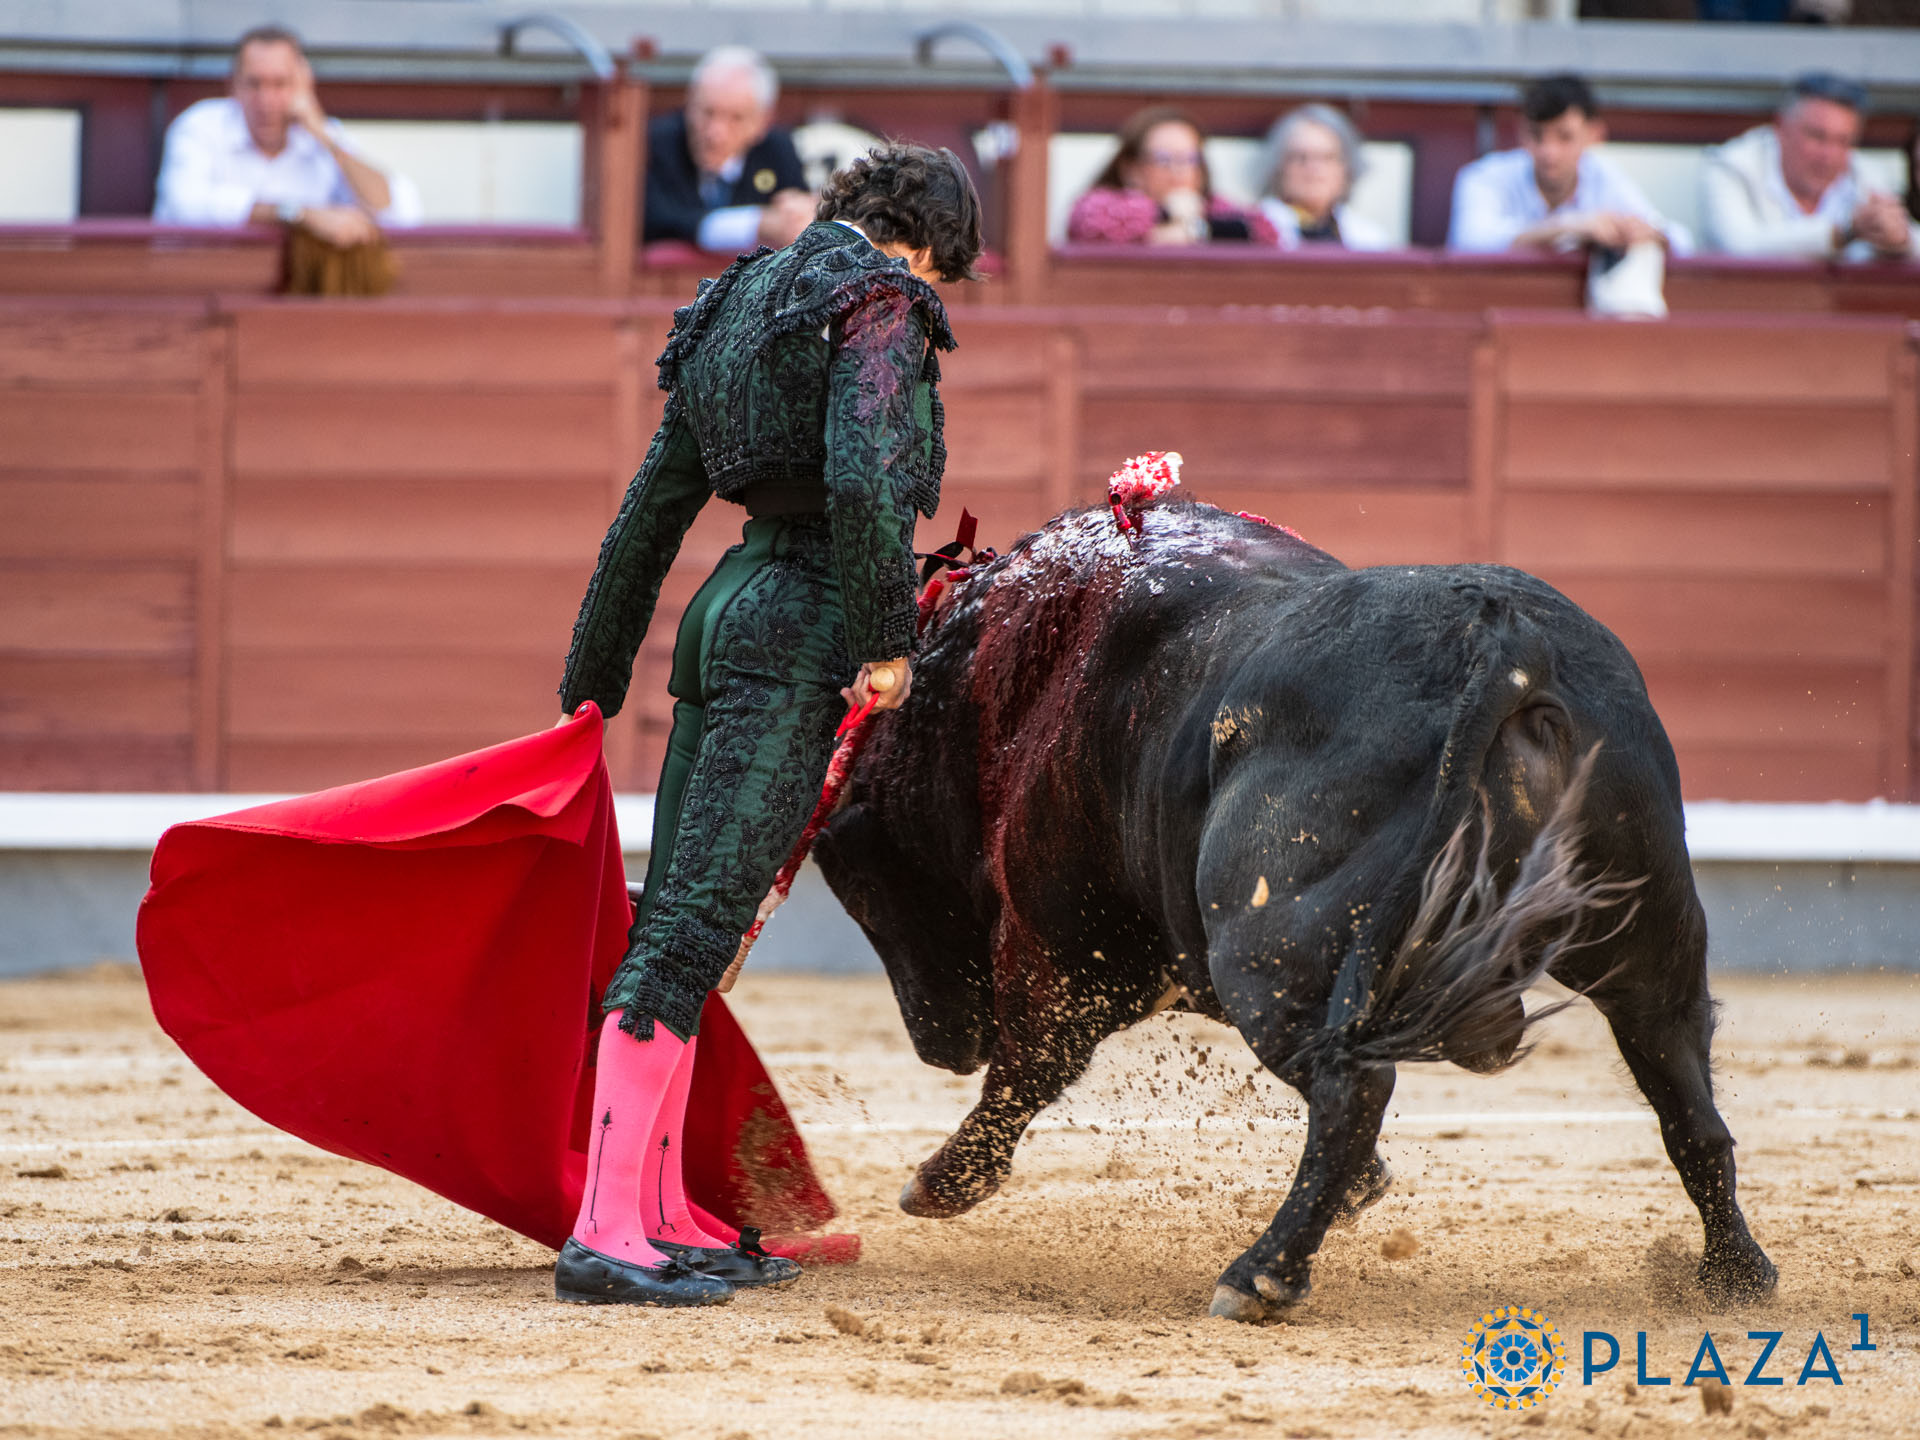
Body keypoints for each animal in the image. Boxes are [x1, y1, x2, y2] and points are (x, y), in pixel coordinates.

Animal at [813, 494, 1778, 1323]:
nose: (940, 1045)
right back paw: (1733, 1275)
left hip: (1268, 948)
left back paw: (1260, 1276)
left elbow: (1028, 1068)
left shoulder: (1064, 947)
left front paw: (940, 1182)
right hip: (1646, 933)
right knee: (1684, 1094)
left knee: (1354, 1084)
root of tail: (1504, 641)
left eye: (855, 878)